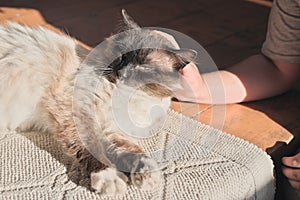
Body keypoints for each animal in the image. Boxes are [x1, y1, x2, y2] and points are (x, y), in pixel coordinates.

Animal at [0, 9, 195, 195]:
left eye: (145, 66)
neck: (127, 96)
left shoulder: (111, 128)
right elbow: (91, 145)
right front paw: (109, 178)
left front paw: (147, 175)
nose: (122, 72)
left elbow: (132, 150)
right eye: (122, 54)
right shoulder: (79, 112)